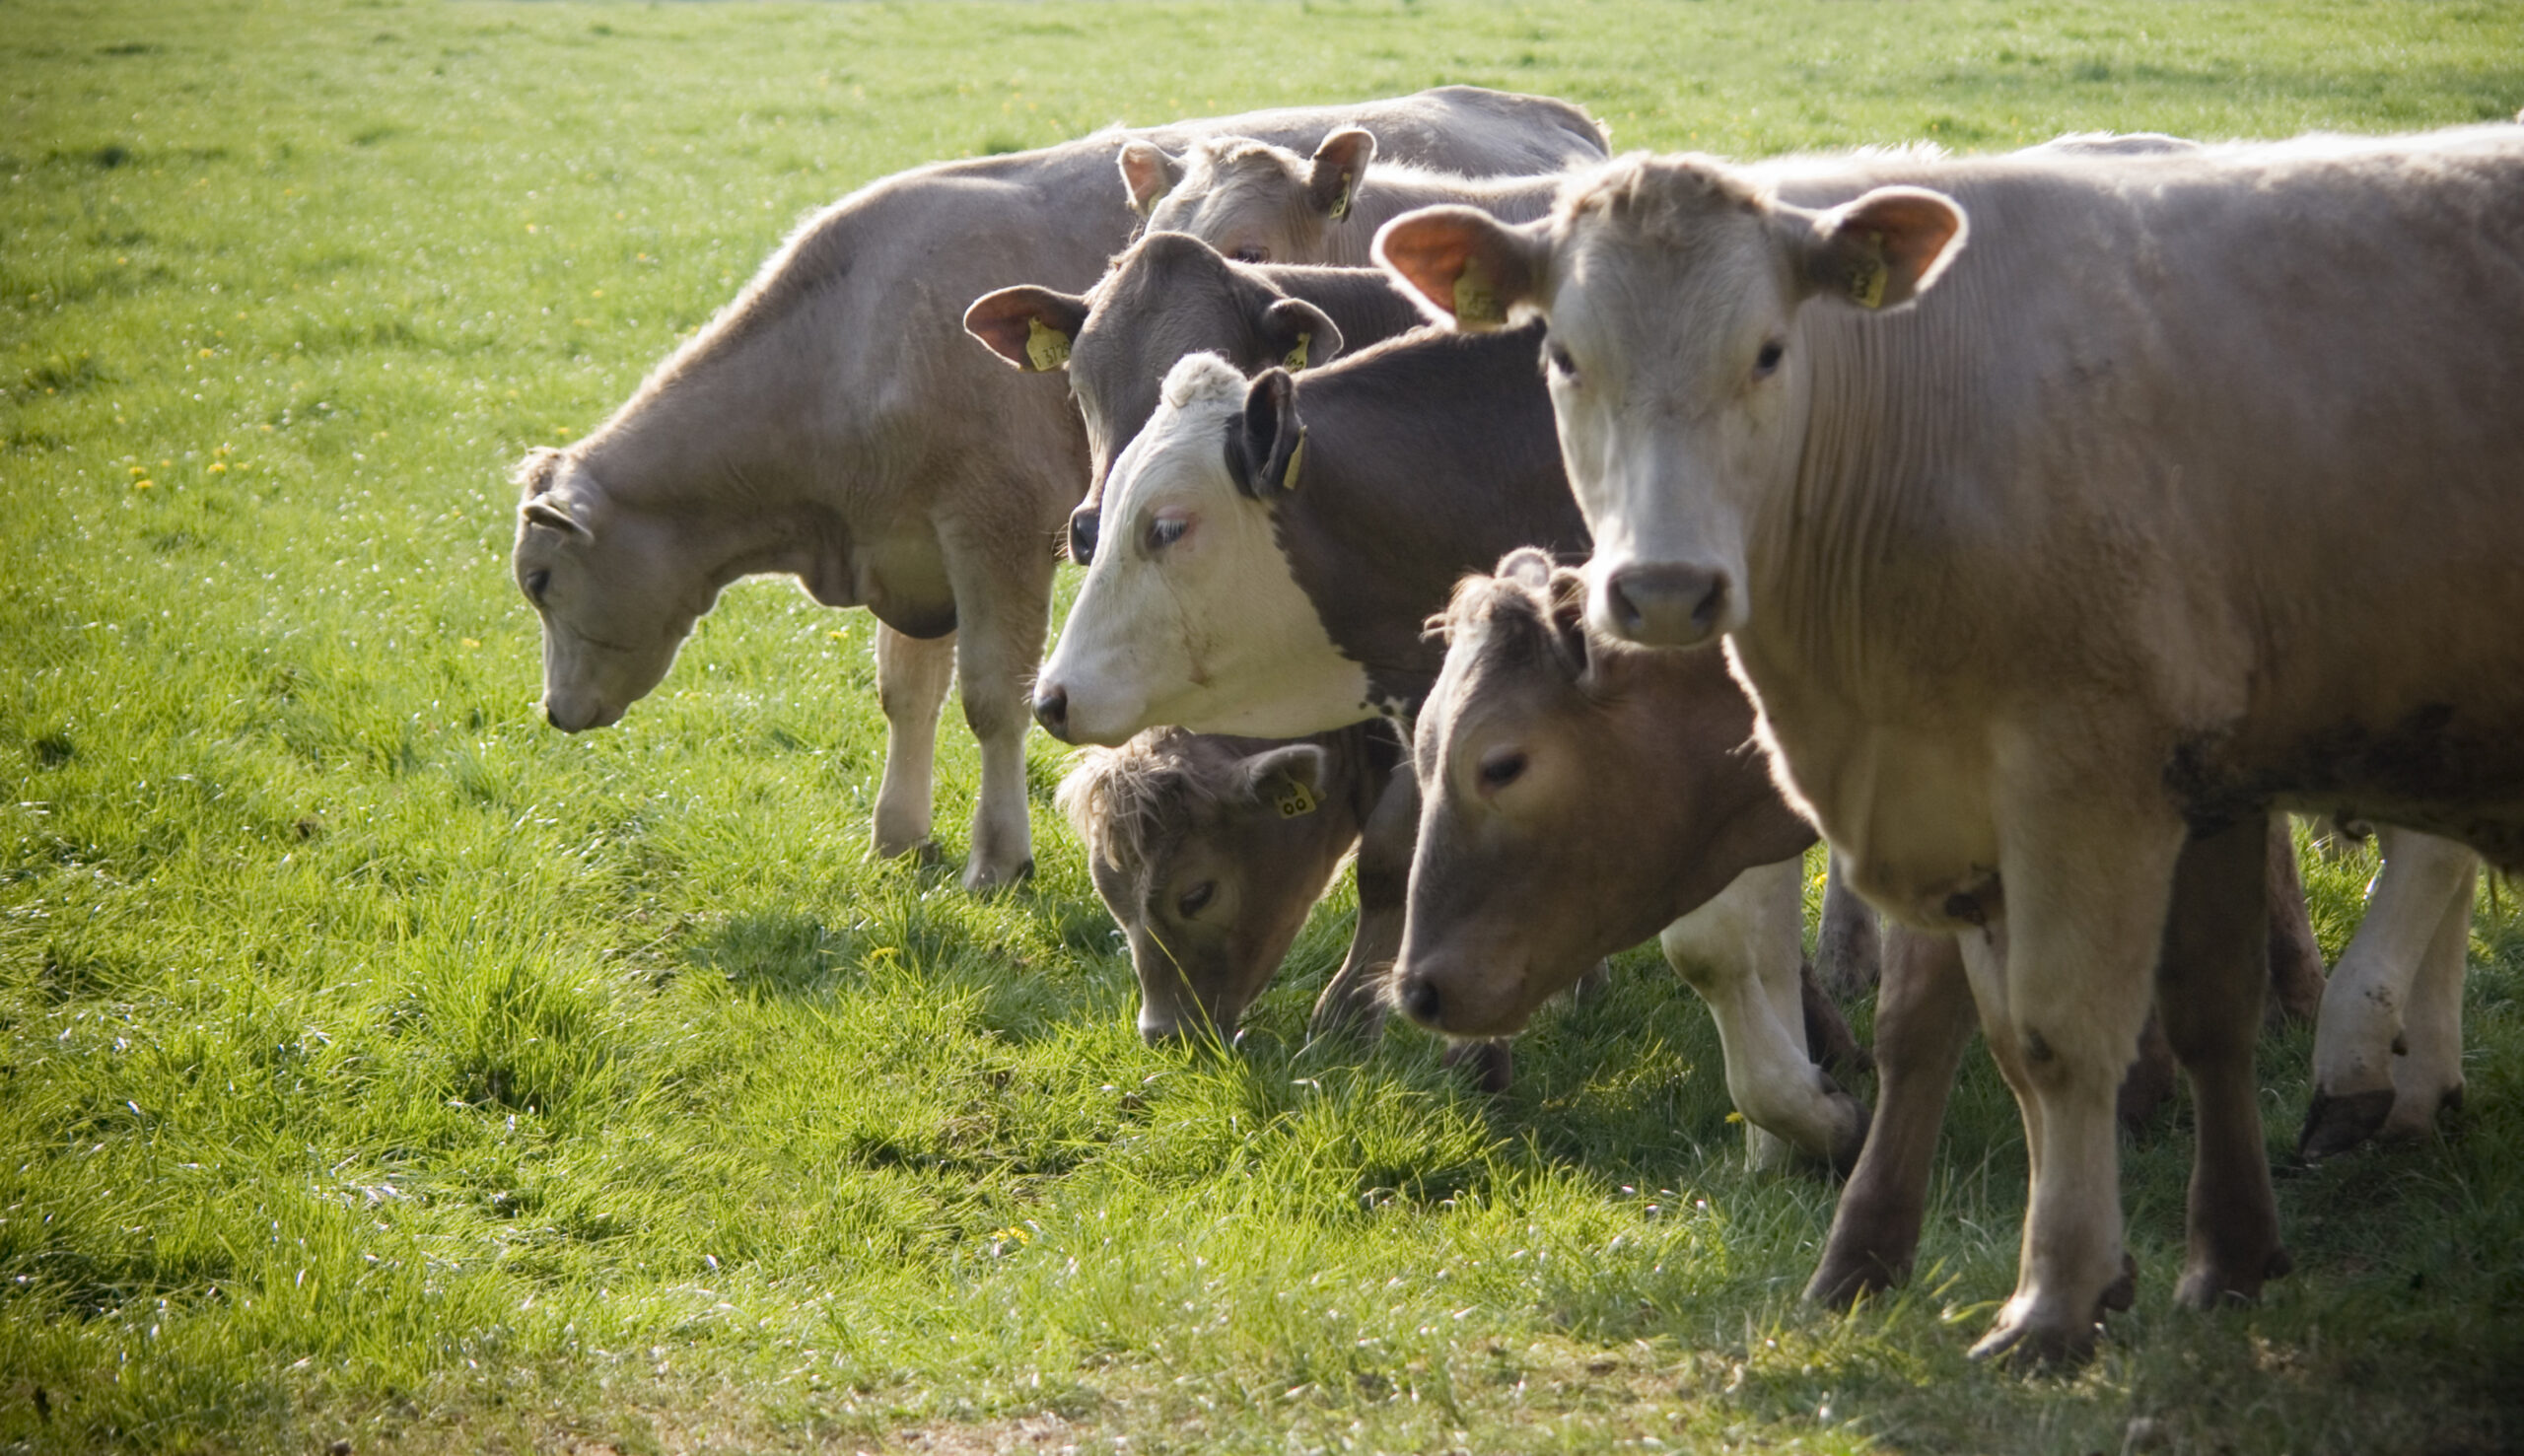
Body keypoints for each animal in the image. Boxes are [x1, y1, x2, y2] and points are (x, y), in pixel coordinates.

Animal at [499, 91, 1594, 893]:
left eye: (540, 583)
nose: (555, 713)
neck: (854, 338)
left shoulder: (996, 532)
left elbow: (993, 697)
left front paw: (998, 858)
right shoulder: (910, 549)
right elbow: (904, 692)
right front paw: (898, 835)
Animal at [1372, 118, 2524, 1352]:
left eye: (1502, 765)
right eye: (1562, 355)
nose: (1417, 991)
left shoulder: (2109, 783)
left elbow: (2073, 1022)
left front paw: (2059, 1283)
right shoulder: (1972, 798)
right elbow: (1956, 1025)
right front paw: (1870, 1233)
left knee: (2429, 863)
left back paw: (2375, 1066)